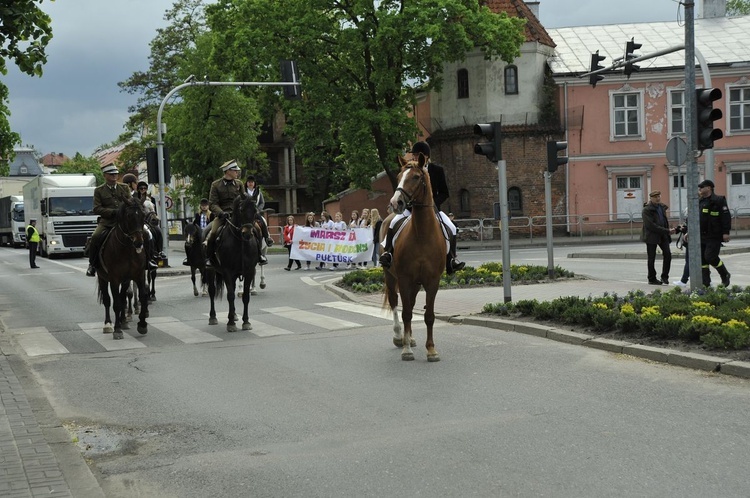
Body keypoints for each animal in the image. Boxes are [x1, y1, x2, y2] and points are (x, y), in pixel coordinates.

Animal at [97, 196, 150, 340]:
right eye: (129, 216)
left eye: (143, 215)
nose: (139, 243)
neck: (127, 250)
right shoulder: (114, 279)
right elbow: (116, 304)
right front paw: (117, 330)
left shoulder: (139, 275)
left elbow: (142, 296)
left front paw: (142, 324)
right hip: (102, 278)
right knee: (108, 300)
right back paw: (108, 324)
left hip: (125, 280)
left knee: (123, 297)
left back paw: (123, 321)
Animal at [209, 194, 262, 330]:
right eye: (241, 209)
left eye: (255, 211)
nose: (247, 234)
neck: (240, 242)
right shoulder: (227, 272)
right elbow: (231, 296)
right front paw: (231, 324)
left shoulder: (249, 272)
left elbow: (245, 296)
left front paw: (246, 321)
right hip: (209, 270)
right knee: (212, 291)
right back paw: (213, 317)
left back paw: (233, 315)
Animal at [382, 154, 446, 360]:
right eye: (399, 175)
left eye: (416, 177)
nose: (395, 203)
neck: (422, 235)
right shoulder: (404, 278)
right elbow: (407, 313)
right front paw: (406, 350)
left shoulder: (432, 281)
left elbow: (429, 315)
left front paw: (431, 350)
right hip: (390, 276)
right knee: (395, 302)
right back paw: (399, 337)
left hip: (416, 283)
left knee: (410, 302)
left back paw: (409, 337)